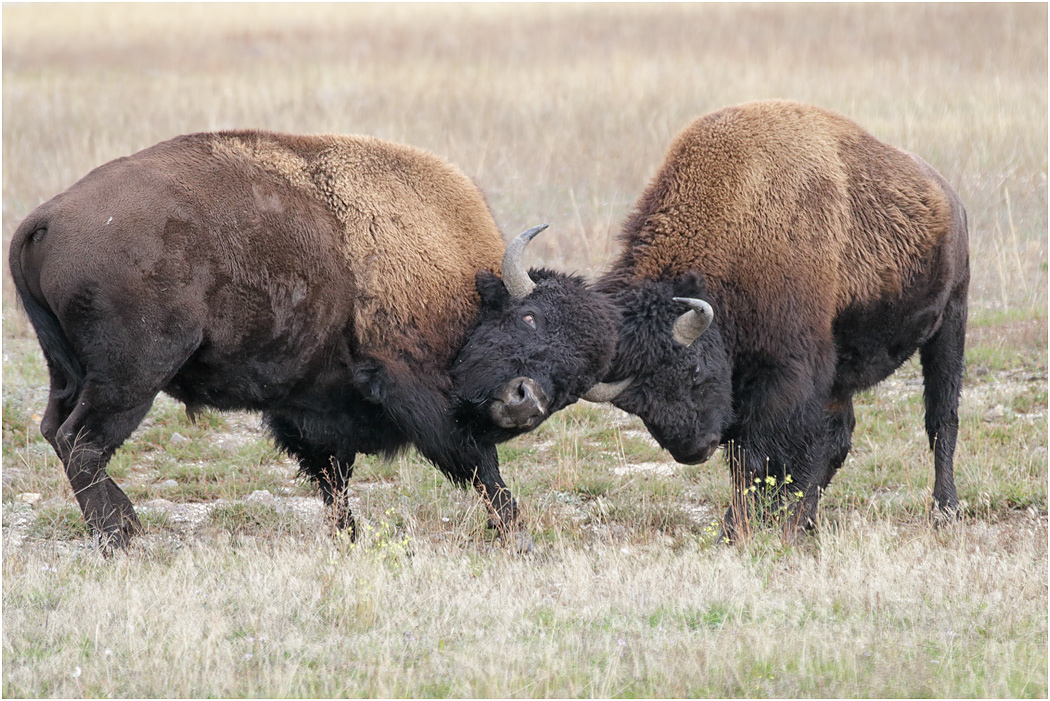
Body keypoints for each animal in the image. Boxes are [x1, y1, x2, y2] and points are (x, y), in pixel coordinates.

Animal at [8, 130, 621, 551]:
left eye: (575, 384)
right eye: (529, 320)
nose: (526, 400)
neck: (465, 285)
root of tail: (46, 217)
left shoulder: (316, 409)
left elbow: (333, 478)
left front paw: (349, 536)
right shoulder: (419, 393)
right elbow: (481, 468)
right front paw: (520, 536)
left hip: (69, 373)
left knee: (56, 431)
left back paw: (122, 529)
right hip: (131, 378)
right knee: (81, 441)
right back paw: (123, 537)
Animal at [588, 100, 969, 540]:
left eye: (693, 371)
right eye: (632, 404)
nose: (695, 450)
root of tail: (949, 197)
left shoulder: (787, 376)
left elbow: (760, 458)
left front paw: (736, 531)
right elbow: (764, 458)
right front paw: (748, 527)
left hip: (951, 320)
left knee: (941, 418)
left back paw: (944, 511)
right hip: (844, 370)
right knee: (839, 439)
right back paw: (804, 524)